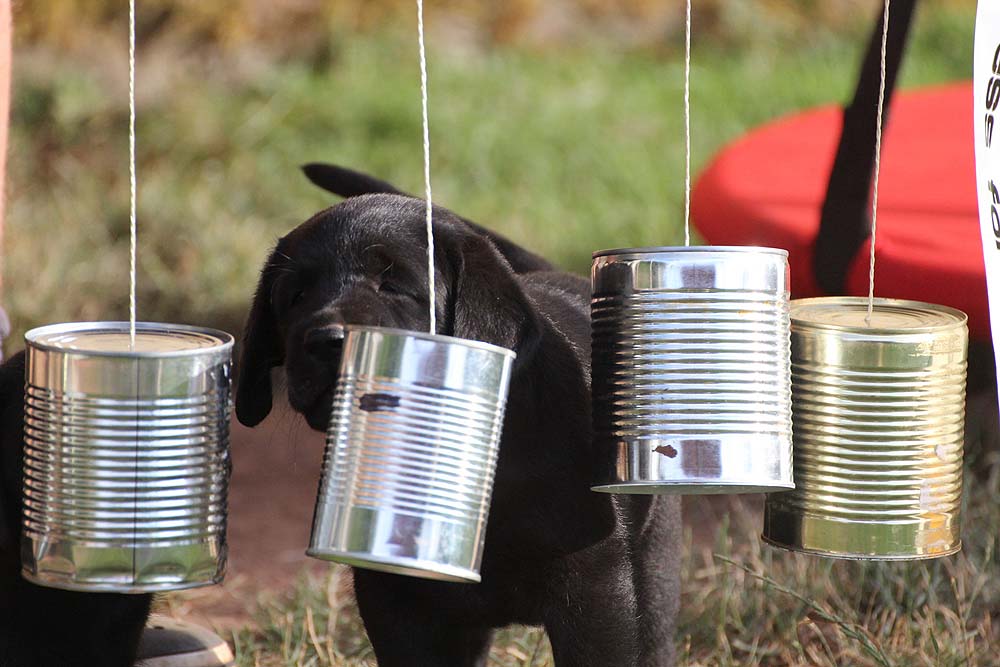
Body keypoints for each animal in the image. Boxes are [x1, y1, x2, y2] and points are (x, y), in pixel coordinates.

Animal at [236, 164, 682, 666]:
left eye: (394, 286)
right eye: (295, 296)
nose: (325, 339)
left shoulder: (595, 591)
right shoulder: (393, 600)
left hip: (654, 565)